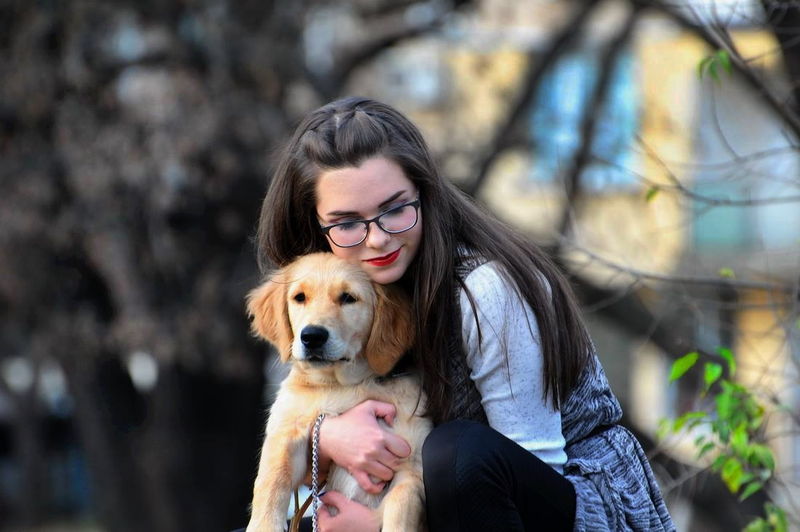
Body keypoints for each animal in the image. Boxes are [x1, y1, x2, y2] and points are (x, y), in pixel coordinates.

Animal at [245, 252, 431, 532]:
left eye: (348, 298)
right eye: (300, 297)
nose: (312, 336)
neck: (344, 385)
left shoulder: (413, 464)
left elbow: (401, 501)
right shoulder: (287, 430)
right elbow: (271, 481)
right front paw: (264, 525)